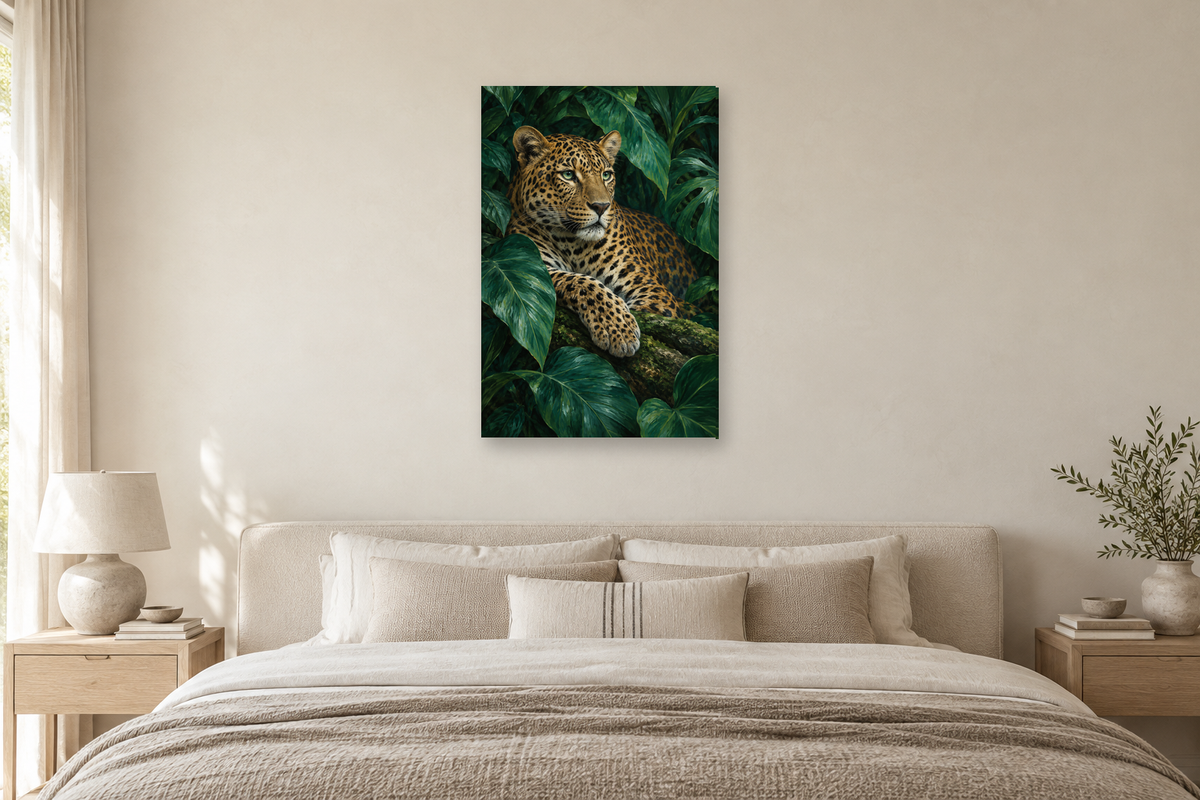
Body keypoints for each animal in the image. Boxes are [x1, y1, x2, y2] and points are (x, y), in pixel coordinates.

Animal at [506, 126, 697, 358]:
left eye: (606, 175)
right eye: (568, 175)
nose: (601, 206)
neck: (572, 243)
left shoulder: (652, 290)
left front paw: (619, 328)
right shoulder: (531, 266)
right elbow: (581, 282)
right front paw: (617, 327)